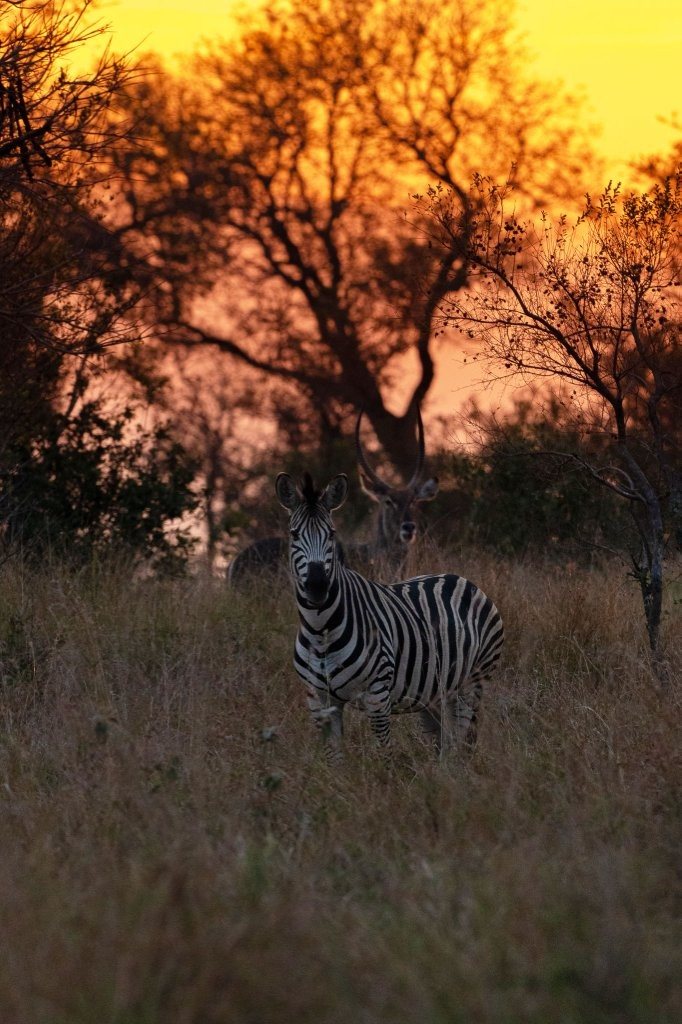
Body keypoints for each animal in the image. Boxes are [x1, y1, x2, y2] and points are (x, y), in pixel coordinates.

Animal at [276, 470, 504, 755]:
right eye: (294, 534)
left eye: (332, 533)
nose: (317, 586)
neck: (320, 629)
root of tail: (459, 577)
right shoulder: (319, 700)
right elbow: (334, 758)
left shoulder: (377, 696)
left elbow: (383, 757)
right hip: (433, 694)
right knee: (444, 747)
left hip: (474, 681)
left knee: (463, 745)